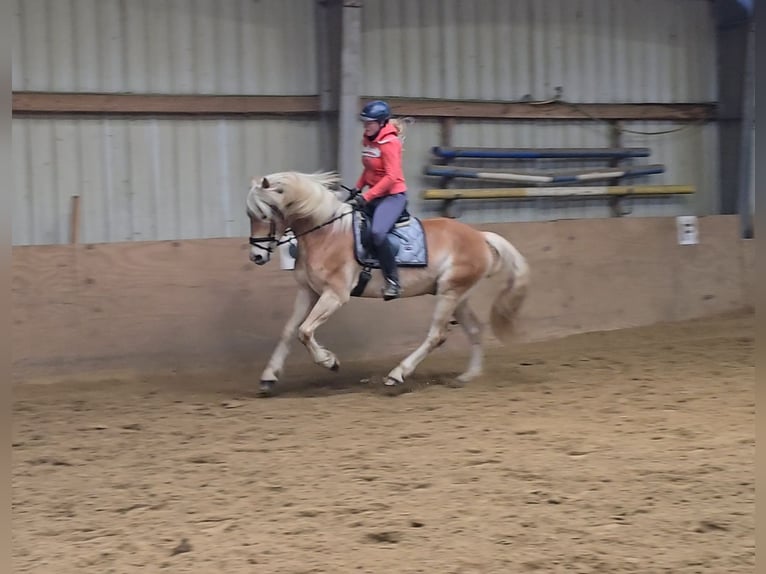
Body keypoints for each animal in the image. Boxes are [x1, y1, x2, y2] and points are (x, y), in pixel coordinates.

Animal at [246, 171, 528, 396]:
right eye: (250, 215)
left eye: (264, 214)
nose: (256, 256)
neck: (325, 233)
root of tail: (480, 236)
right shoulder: (308, 292)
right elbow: (289, 331)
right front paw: (268, 377)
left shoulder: (335, 294)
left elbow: (305, 331)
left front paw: (330, 361)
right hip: (459, 296)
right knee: (475, 330)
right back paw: (468, 376)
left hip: (450, 293)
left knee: (437, 335)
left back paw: (397, 374)